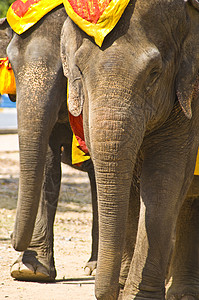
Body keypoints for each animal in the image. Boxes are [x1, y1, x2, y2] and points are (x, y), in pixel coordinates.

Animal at [0, 4, 98, 282]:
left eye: (64, 70)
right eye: (11, 65)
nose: (11, 236)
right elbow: (47, 164)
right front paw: (29, 271)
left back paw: (96, 268)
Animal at [60, 1, 199, 298]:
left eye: (154, 73)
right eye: (79, 70)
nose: (112, 291)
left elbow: (164, 178)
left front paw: (138, 295)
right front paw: (124, 286)